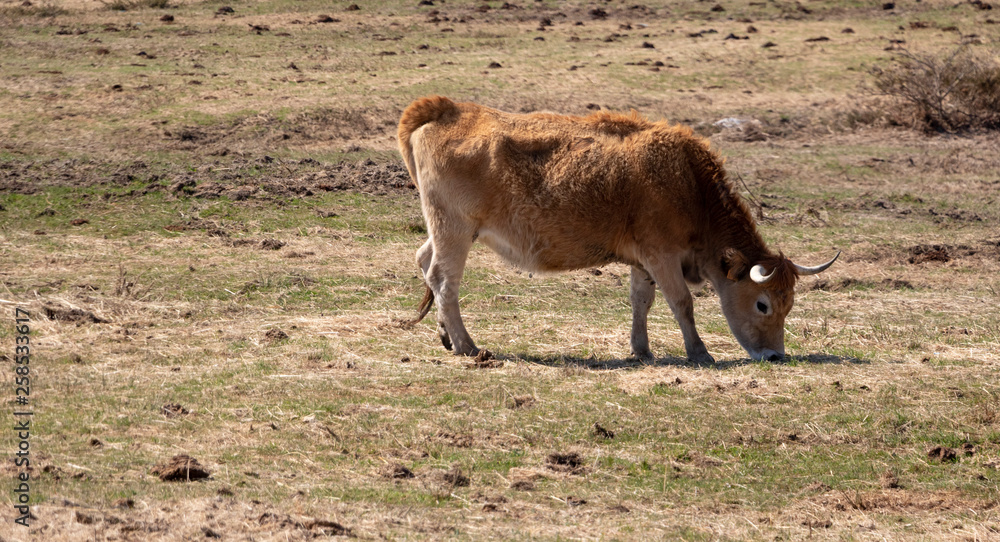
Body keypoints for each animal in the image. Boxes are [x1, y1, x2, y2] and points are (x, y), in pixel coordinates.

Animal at [397, 96, 838, 363]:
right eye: (763, 304)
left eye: (789, 304)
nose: (775, 356)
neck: (688, 183)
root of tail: (446, 109)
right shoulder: (662, 256)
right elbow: (682, 302)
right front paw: (700, 353)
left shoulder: (643, 260)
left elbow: (642, 301)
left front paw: (641, 350)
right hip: (455, 232)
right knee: (443, 279)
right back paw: (468, 346)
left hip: (448, 232)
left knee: (424, 262)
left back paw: (445, 336)